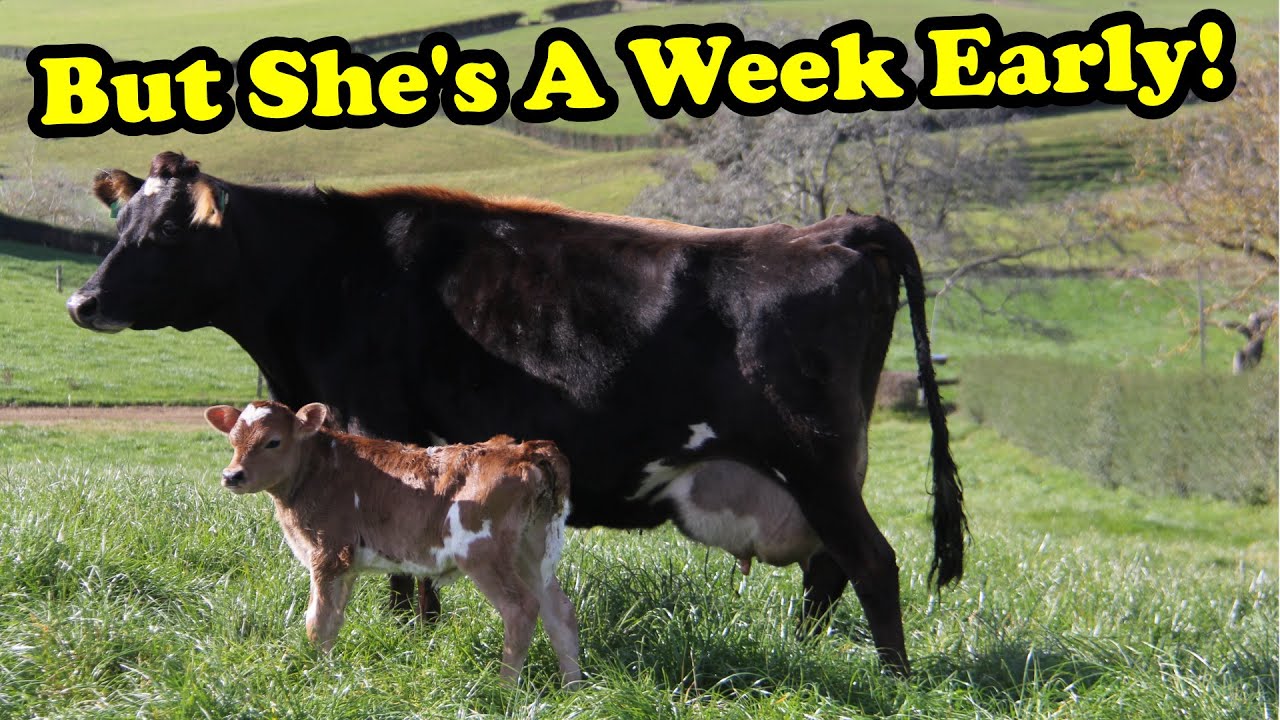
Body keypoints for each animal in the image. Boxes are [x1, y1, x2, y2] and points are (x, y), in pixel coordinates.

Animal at [204, 400, 581, 687]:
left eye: (273, 441)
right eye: (233, 439)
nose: (232, 475)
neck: (319, 470)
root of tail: (526, 450)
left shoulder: (328, 553)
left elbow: (317, 622)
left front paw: (317, 676)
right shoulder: (346, 564)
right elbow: (333, 620)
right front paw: (329, 670)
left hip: (483, 554)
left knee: (521, 609)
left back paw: (503, 690)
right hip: (531, 550)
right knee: (558, 610)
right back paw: (572, 688)